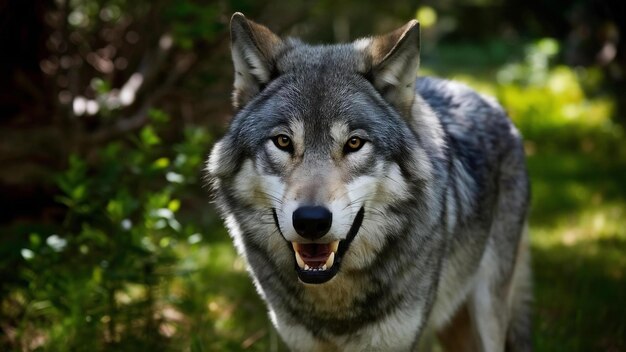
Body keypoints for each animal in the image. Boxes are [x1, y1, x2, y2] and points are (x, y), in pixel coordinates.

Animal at [207, 13, 528, 352]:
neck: (334, 304)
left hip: (487, 313)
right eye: (283, 141)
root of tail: (483, 95)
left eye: (354, 143)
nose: (311, 221)